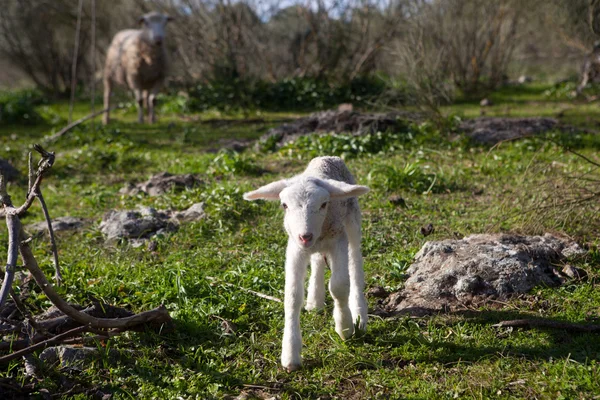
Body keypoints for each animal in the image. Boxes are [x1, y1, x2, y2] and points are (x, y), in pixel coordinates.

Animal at [244, 156, 370, 372]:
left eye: (324, 204)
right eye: (284, 205)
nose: (305, 236)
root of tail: (326, 158)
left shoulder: (338, 240)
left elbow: (339, 286)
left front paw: (345, 327)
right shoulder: (295, 249)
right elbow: (292, 296)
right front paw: (290, 354)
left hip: (352, 222)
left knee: (355, 264)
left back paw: (359, 313)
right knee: (318, 260)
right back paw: (315, 300)